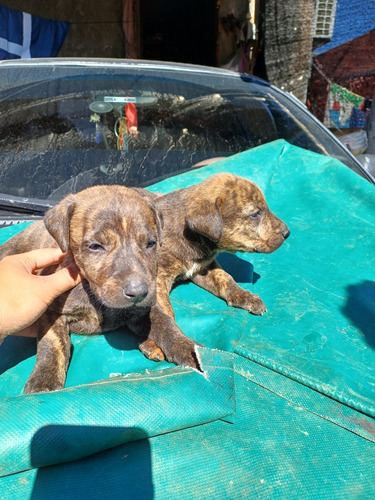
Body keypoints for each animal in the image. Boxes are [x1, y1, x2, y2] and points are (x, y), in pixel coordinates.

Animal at [0, 185, 163, 394]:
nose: (139, 292)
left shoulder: (139, 310)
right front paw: (44, 380)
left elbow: (154, 323)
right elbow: (52, 343)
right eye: (95, 246)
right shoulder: (50, 312)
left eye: (151, 244)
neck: (91, 291)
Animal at [140, 174, 290, 370]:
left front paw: (246, 296)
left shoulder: (203, 268)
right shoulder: (158, 278)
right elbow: (164, 310)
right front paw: (156, 343)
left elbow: (226, 278)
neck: (190, 235)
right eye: (255, 214)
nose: (287, 232)